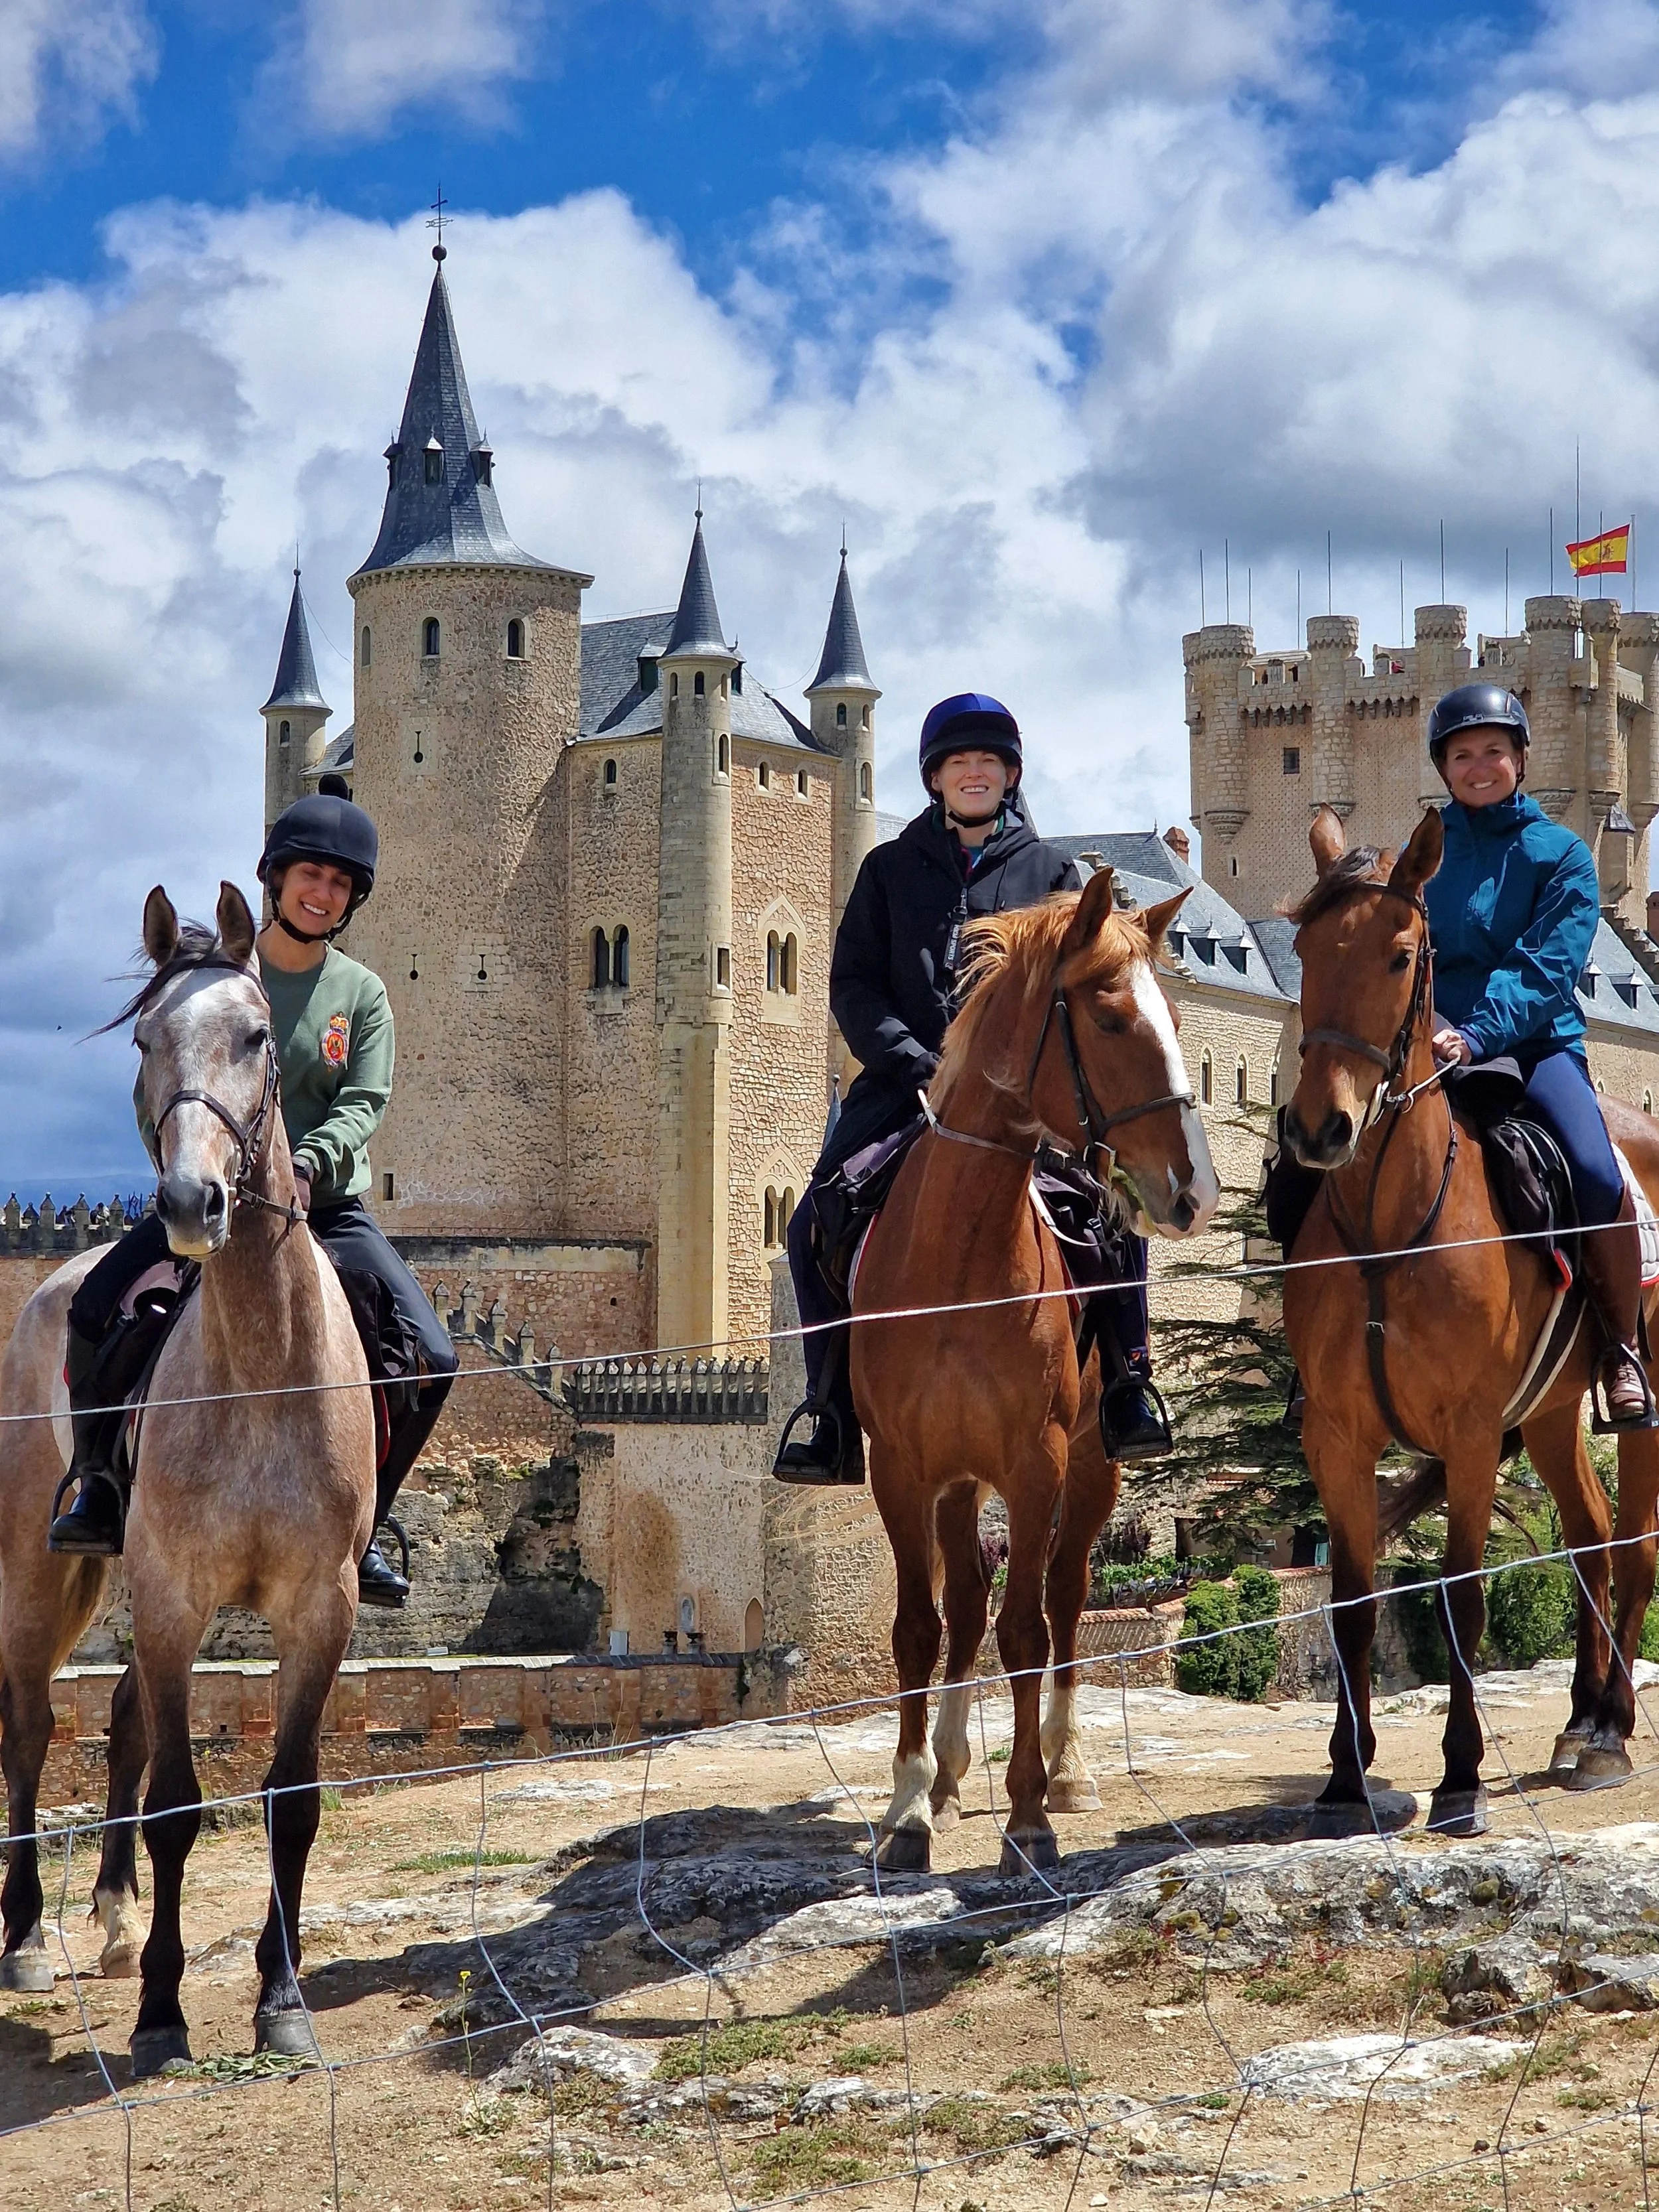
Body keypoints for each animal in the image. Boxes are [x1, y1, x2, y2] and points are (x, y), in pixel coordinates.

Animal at [0, 882, 376, 2074]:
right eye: (145, 1040)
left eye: (256, 1035)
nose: (187, 1202)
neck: (258, 1363)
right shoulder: (173, 1593)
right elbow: (175, 1798)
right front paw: (164, 2010)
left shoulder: (320, 1606)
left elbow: (290, 1797)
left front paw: (283, 1994)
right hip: (44, 1570)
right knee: (32, 1727)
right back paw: (27, 1937)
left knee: (118, 1716)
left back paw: (117, 1920)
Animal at [850, 866, 1219, 1875]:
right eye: (1113, 1020)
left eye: (1178, 1013)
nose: (1196, 1190)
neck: (957, 1264)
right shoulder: (902, 1470)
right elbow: (920, 1626)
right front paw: (907, 1807)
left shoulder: (1036, 1463)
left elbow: (1027, 1627)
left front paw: (1025, 1816)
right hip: (956, 1482)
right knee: (967, 1606)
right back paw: (945, 1772)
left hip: (1091, 1470)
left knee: (1064, 1599)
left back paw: (1066, 1765)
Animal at [1282, 805, 1659, 1834]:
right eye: (1302, 950)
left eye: (1401, 954)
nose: (1320, 1128)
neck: (1388, 1227)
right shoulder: (1339, 1435)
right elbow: (1352, 1600)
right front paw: (1344, 1779)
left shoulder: (1471, 1433)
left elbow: (1461, 1597)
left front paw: (1458, 1778)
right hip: (1553, 1413)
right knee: (1590, 1535)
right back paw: (1580, 1720)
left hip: (1635, 1409)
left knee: (1634, 1544)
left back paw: (1613, 1731)